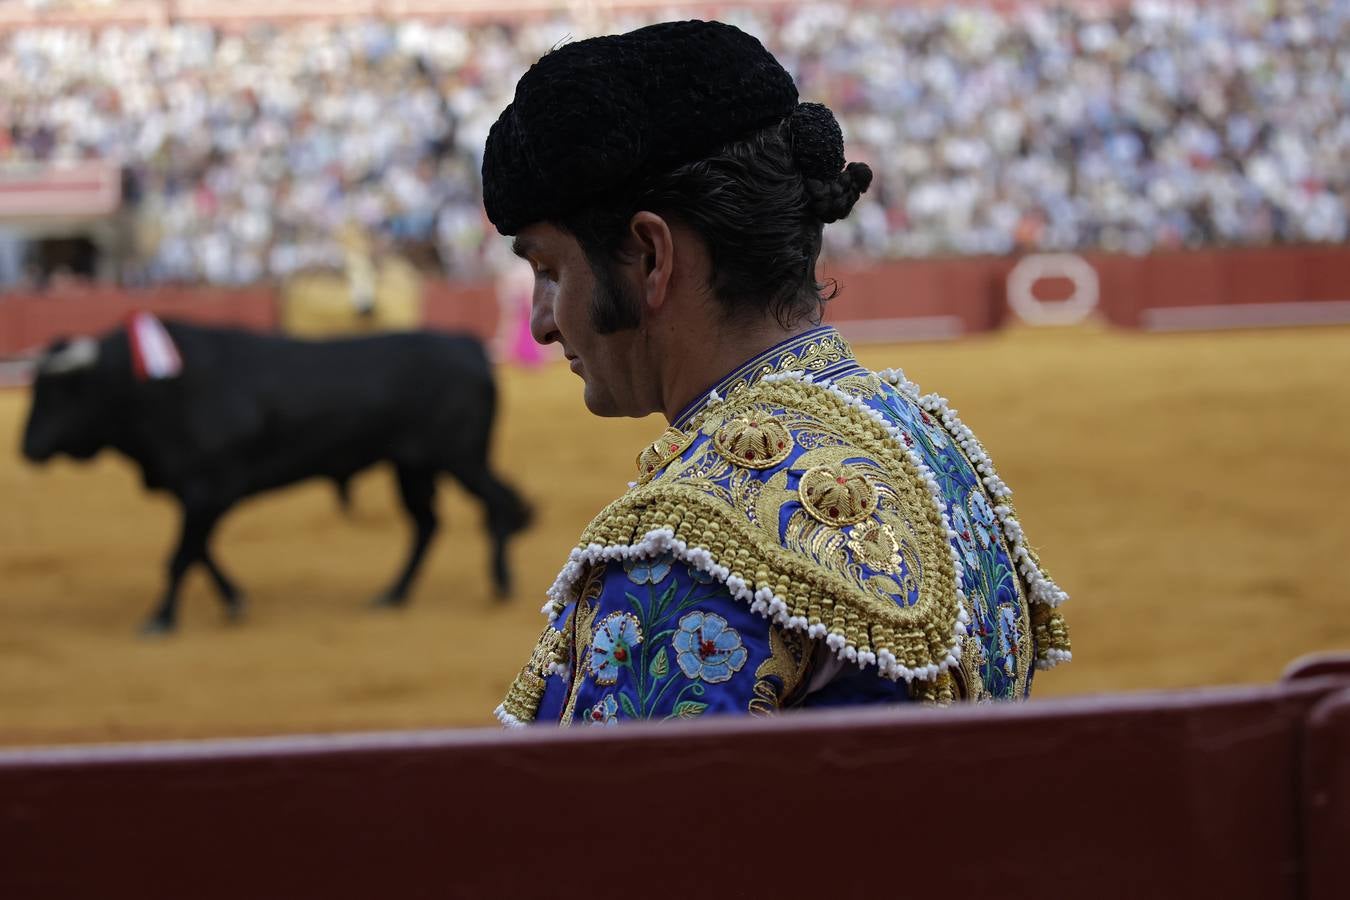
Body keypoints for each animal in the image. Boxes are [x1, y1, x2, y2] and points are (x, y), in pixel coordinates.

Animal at [21, 323, 529, 634]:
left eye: (59, 391)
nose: (26, 447)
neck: (154, 391)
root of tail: (466, 346)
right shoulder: (199, 494)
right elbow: (199, 550)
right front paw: (234, 600)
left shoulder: (208, 489)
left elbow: (181, 556)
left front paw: (160, 620)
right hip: (412, 466)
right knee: (428, 524)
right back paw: (392, 594)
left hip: (460, 458)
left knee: (496, 504)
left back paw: (502, 583)